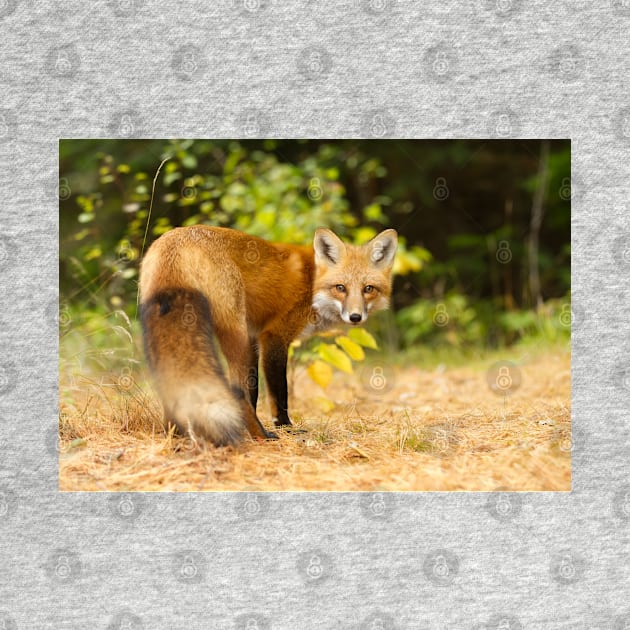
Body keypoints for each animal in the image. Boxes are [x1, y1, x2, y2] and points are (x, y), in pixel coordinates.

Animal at [140, 225, 398, 446]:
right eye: (340, 288)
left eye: (368, 289)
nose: (355, 317)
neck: (312, 283)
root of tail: (175, 242)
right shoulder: (273, 336)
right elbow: (279, 394)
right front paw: (286, 428)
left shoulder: (254, 339)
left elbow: (253, 392)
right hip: (235, 333)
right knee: (235, 390)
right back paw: (262, 436)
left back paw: (176, 436)